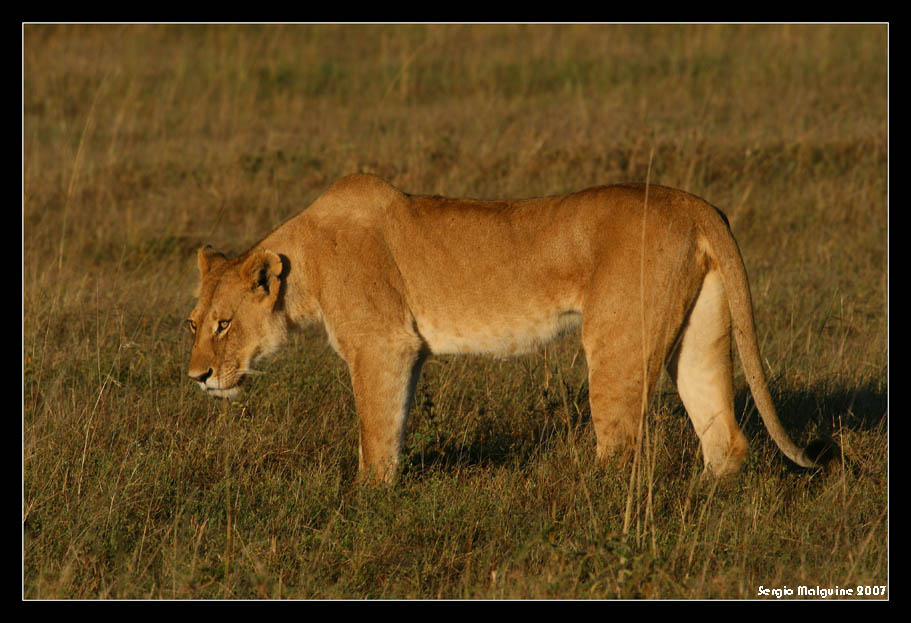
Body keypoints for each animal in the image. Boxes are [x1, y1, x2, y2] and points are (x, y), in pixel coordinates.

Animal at [187, 173, 836, 483]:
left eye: (223, 324)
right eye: (192, 323)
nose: (196, 377)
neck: (305, 264)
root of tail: (694, 204)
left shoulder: (381, 343)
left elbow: (374, 432)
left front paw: (370, 500)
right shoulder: (407, 350)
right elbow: (394, 423)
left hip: (618, 341)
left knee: (622, 446)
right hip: (700, 335)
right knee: (725, 437)